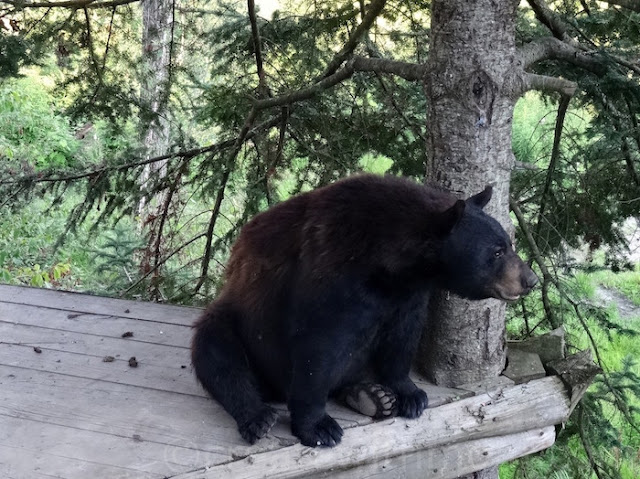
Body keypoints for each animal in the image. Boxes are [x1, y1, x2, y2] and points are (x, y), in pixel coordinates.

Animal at [192, 174, 536, 448]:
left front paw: (409, 393)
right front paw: (318, 427)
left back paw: (371, 396)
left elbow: (403, 336)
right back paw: (256, 416)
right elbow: (319, 348)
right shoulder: (333, 281)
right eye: (497, 251)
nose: (530, 279)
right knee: (220, 356)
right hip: (237, 319)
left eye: (509, 242)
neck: (390, 265)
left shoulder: (407, 295)